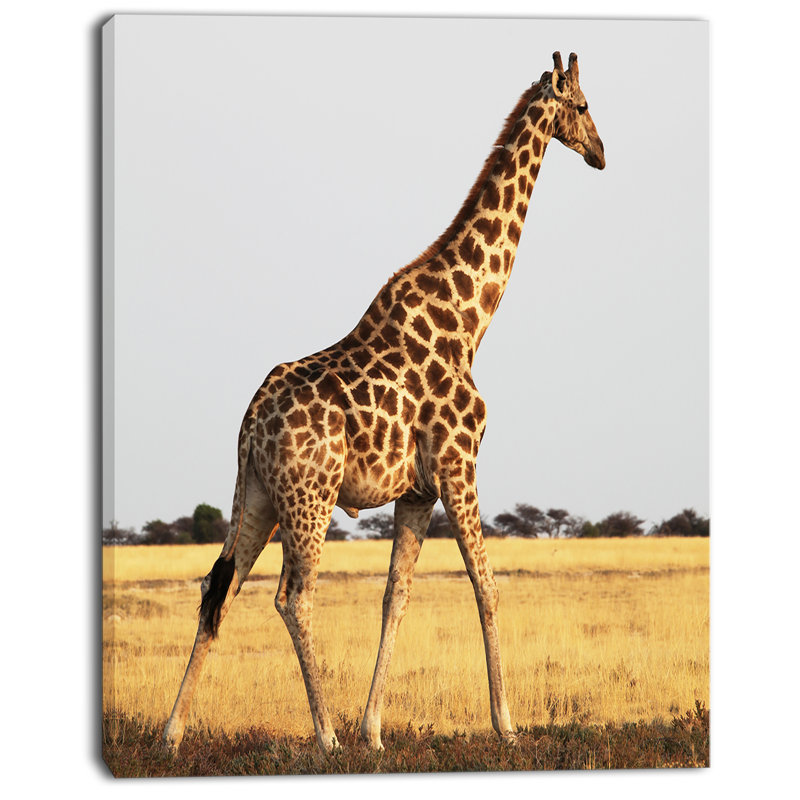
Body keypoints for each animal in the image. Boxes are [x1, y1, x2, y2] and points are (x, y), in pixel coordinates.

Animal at [163, 51, 605, 755]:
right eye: (584, 107)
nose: (600, 155)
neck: (469, 319)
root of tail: (249, 424)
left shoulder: (418, 489)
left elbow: (396, 597)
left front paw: (374, 729)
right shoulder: (459, 466)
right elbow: (486, 588)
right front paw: (506, 725)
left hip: (256, 494)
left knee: (218, 587)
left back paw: (172, 733)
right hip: (309, 497)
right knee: (293, 597)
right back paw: (324, 736)